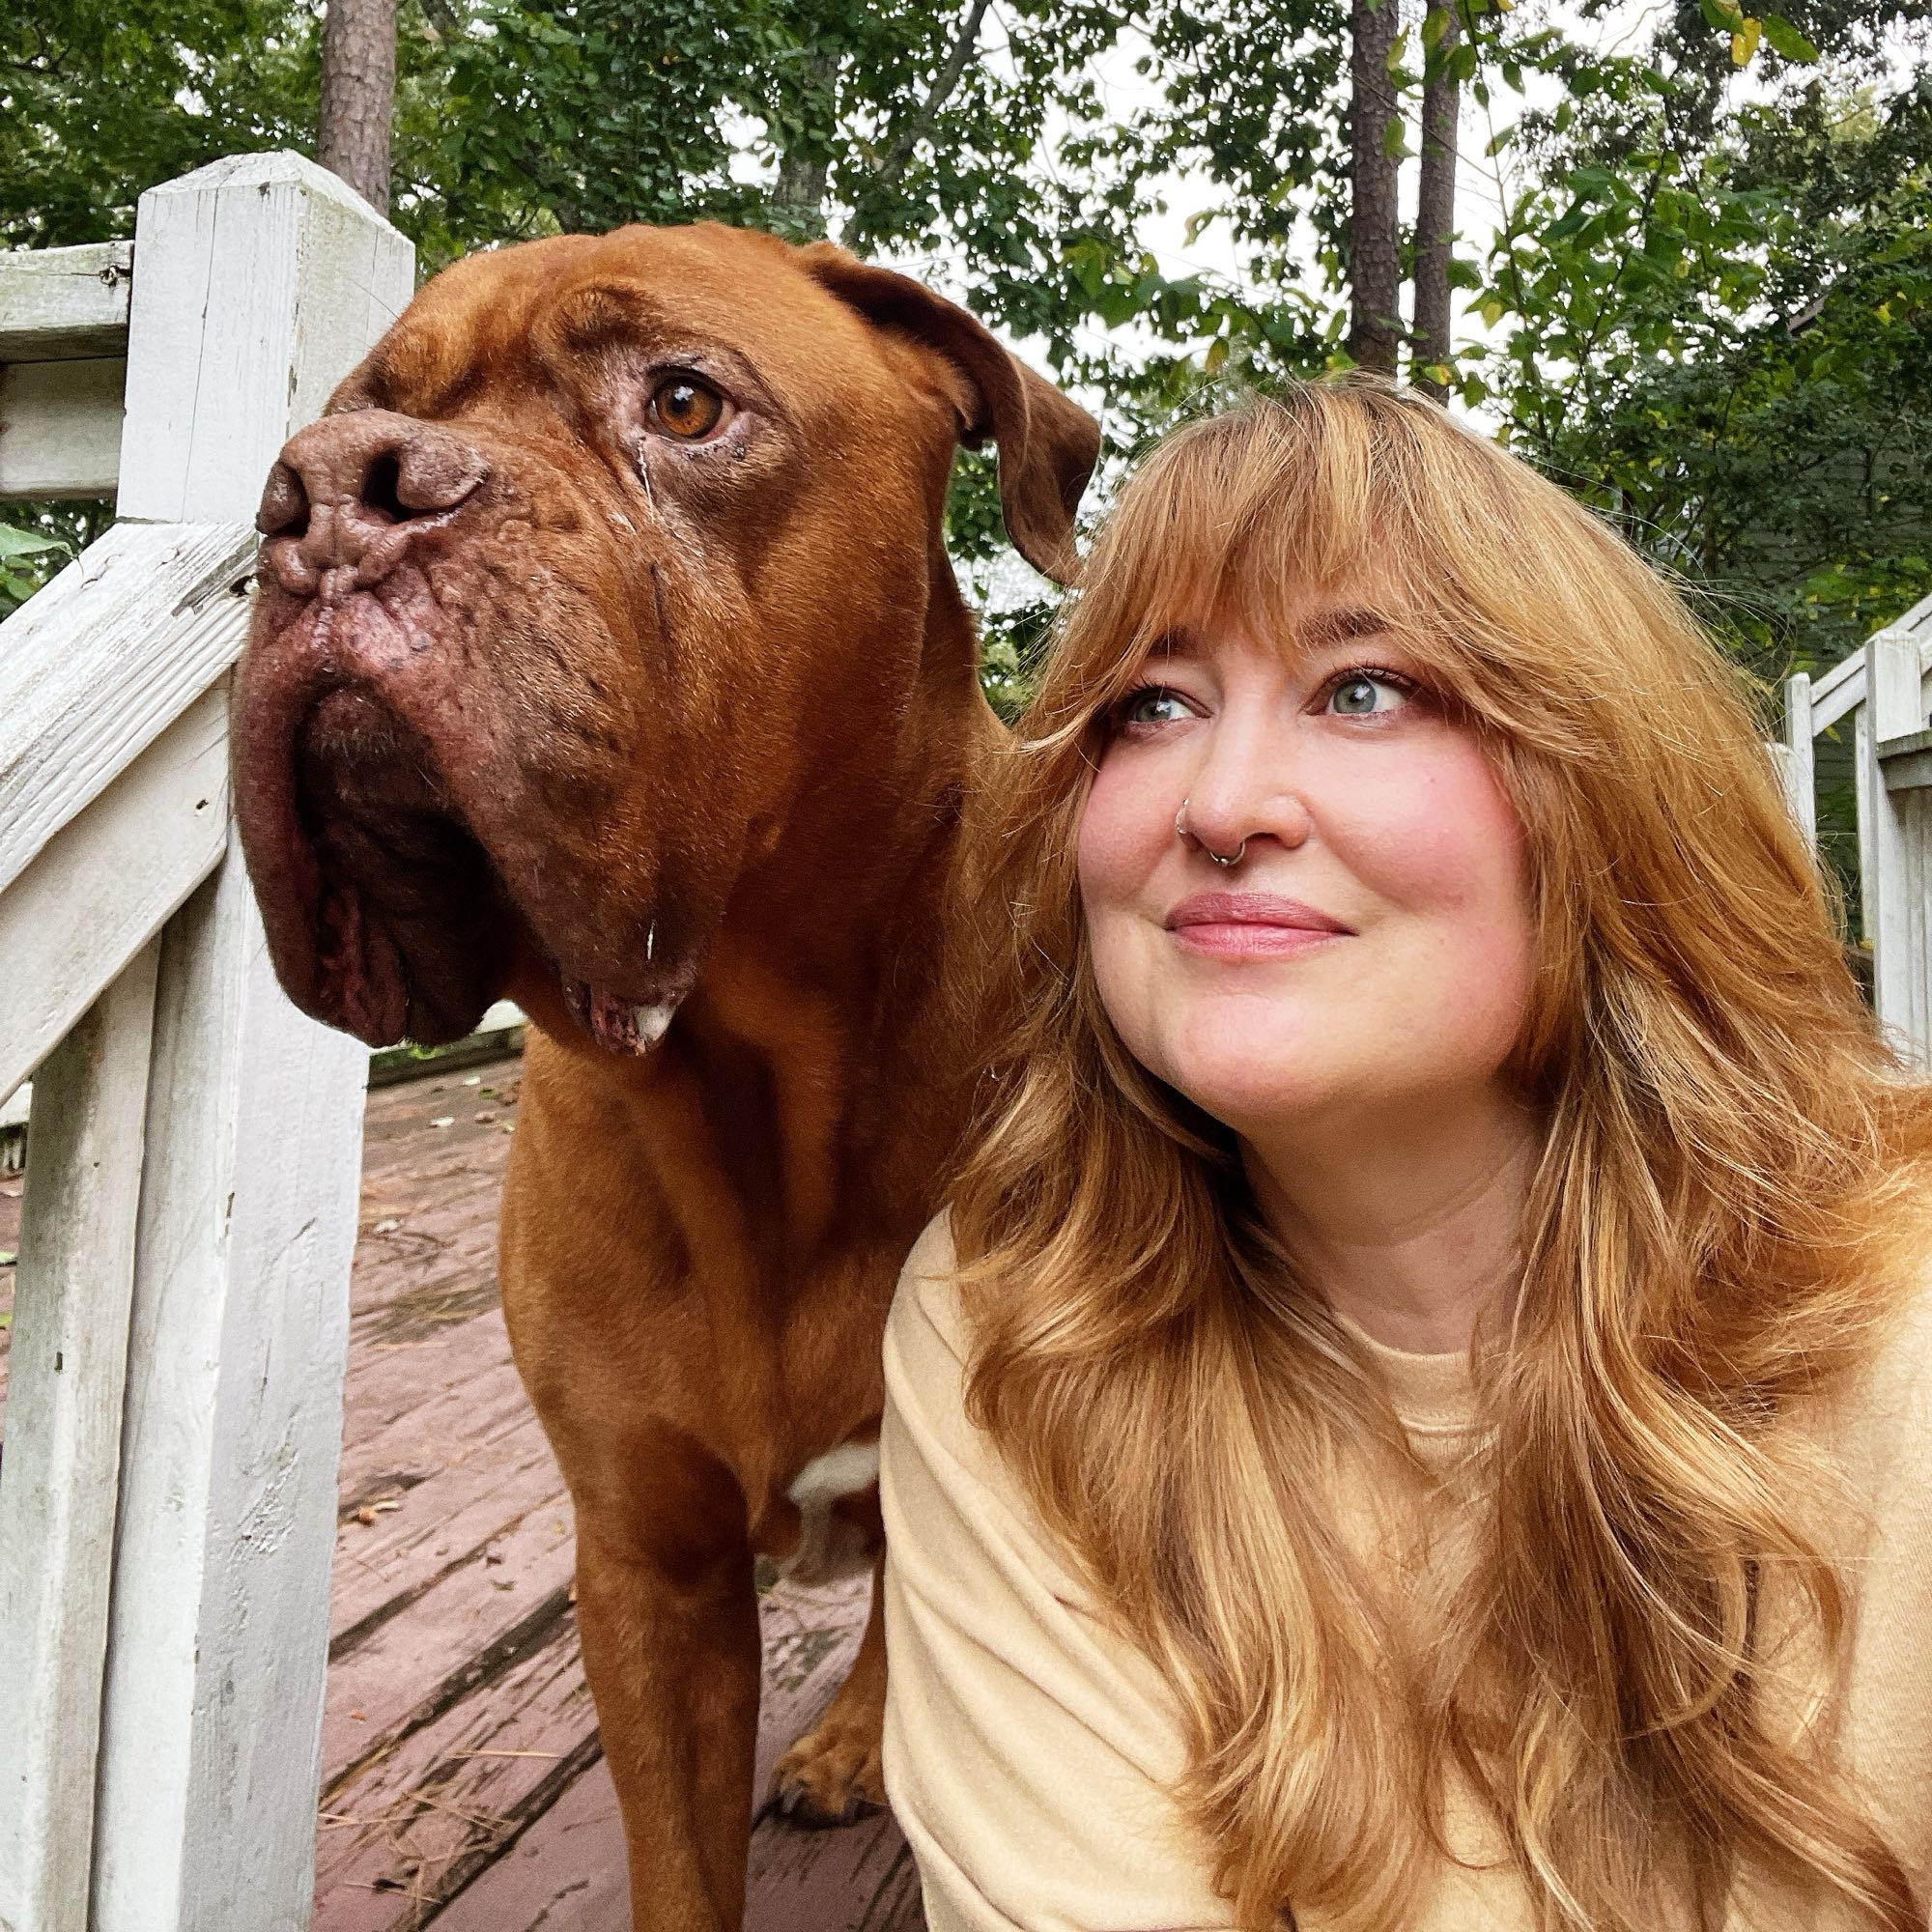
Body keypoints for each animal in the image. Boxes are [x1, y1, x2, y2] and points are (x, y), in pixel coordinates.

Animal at [232, 222, 1097, 1917]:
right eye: (354, 412)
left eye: (685, 403)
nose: (329, 495)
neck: (759, 1077)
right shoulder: (647, 1573)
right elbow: (682, 1870)